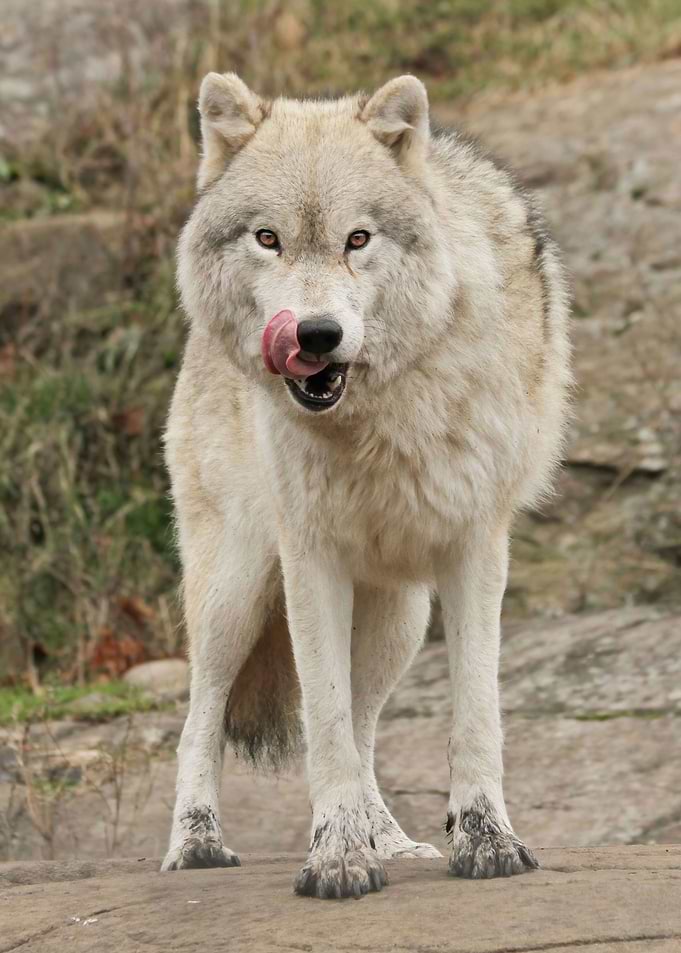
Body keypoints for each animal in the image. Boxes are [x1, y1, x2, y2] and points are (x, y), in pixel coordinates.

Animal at [161, 71, 571, 899]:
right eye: (267, 238)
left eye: (358, 239)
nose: (314, 335)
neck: (380, 421)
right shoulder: (309, 558)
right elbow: (320, 726)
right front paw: (336, 857)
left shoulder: (477, 550)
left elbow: (472, 716)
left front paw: (484, 842)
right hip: (236, 591)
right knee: (201, 716)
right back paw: (197, 842)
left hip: (399, 619)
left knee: (364, 724)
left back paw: (392, 837)